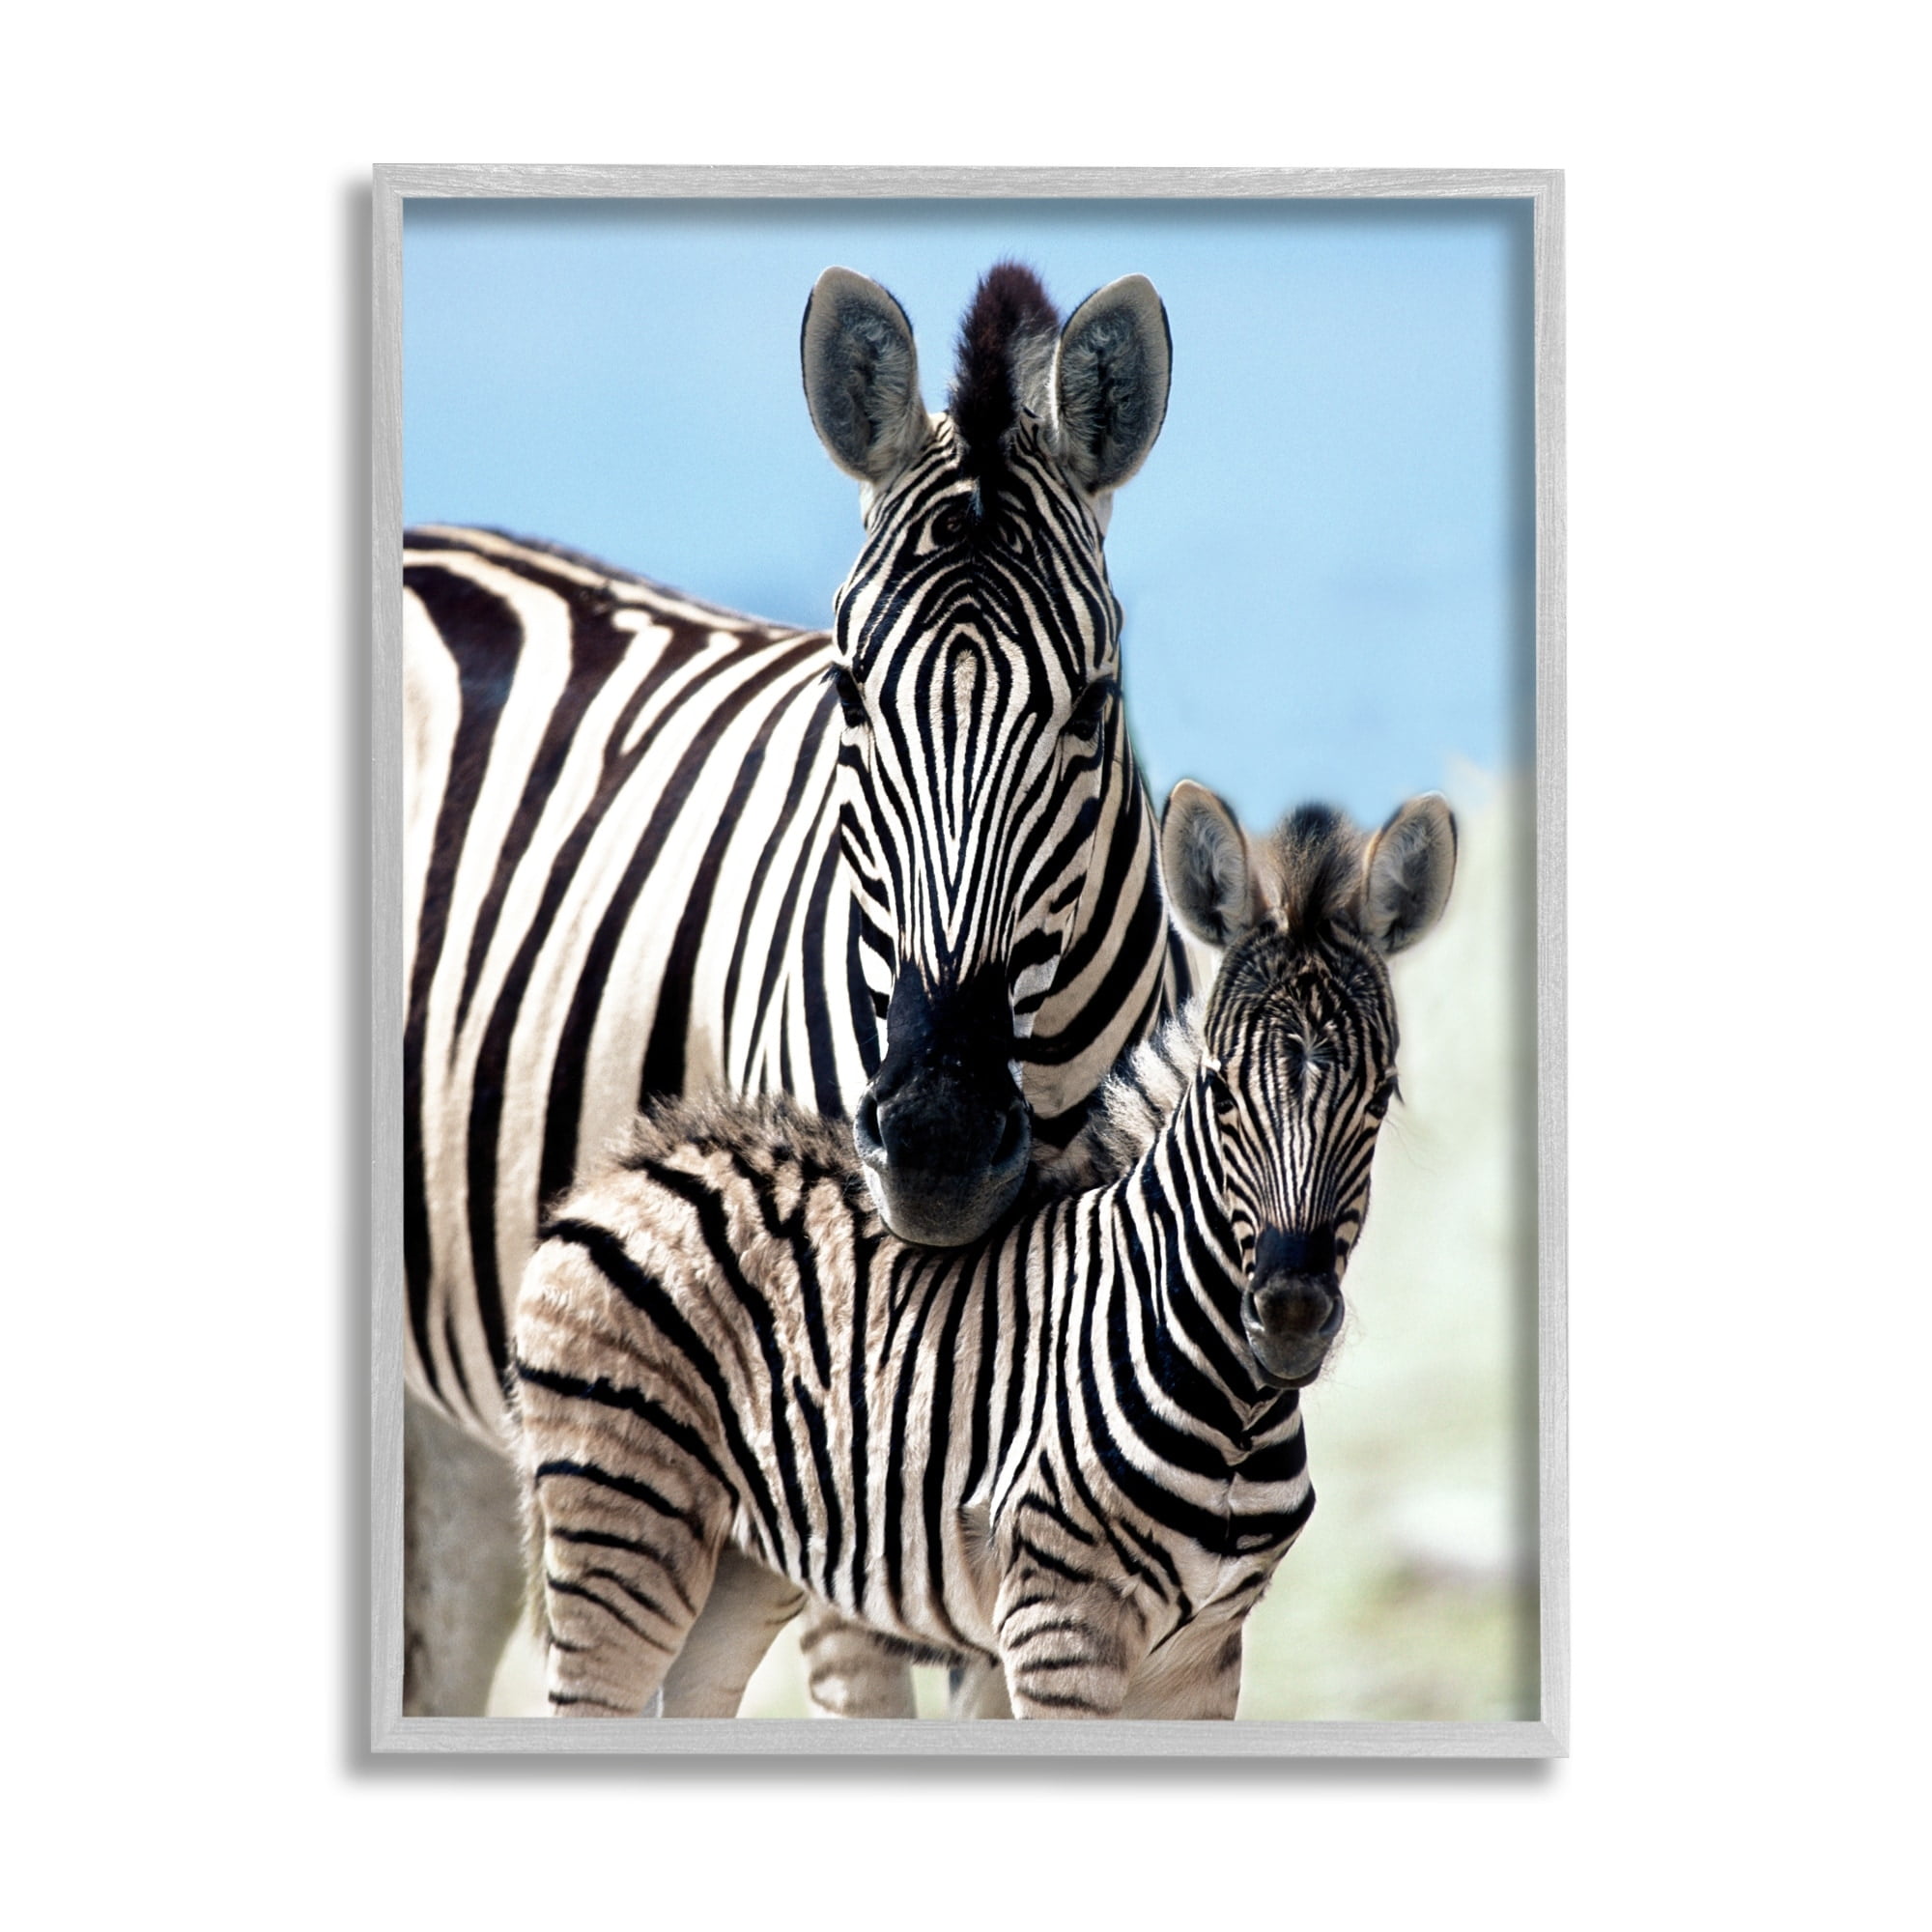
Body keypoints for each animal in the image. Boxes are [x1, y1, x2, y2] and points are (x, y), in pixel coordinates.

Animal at [511, 783, 1458, 1719]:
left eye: (1382, 1097)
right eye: (1222, 1091)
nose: (1290, 1314)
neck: (1233, 1405)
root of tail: (625, 1167)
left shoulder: (1206, 1656)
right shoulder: (1060, 1625)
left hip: (739, 1566)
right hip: (622, 1525)